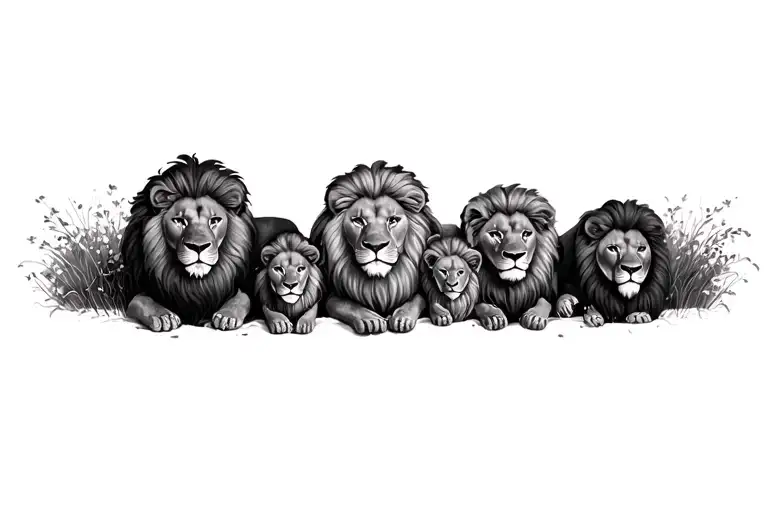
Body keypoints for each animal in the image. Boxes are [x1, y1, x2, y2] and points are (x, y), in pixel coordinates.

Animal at [121, 154, 297, 332]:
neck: (196, 282)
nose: (198, 247)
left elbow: (243, 297)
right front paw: (163, 316)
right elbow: (139, 300)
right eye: (179, 220)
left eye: (215, 220)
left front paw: (227, 315)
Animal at [309, 160, 442, 335]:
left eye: (393, 220)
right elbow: (340, 303)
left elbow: (417, 299)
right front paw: (370, 320)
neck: (379, 284)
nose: (376, 246)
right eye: (358, 221)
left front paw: (402, 318)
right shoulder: (330, 295)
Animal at [460, 184, 559, 331]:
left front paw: (534, 316)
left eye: (526, 233)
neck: (511, 286)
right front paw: (494, 316)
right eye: (495, 234)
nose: (515, 255)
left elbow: (544, 301)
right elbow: (480, 304)